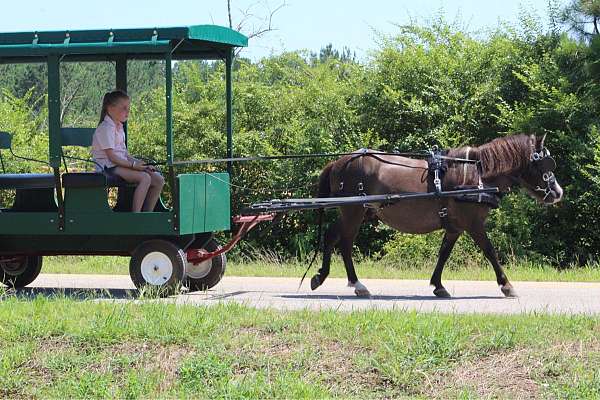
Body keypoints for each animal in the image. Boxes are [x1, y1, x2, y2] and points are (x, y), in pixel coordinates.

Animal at [312, 134, 564, 296]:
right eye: (544, 165)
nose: (558, 192)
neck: (477, 176)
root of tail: (338, 162)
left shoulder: (455, 227)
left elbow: (444, 253)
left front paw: (438, 286)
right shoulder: (474, 224)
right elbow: (490, 251)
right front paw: (506, 285)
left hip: (359, 212)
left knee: (332, 236)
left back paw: (320, 276)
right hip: (353, 211)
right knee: (345, 243)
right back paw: (357, 284)